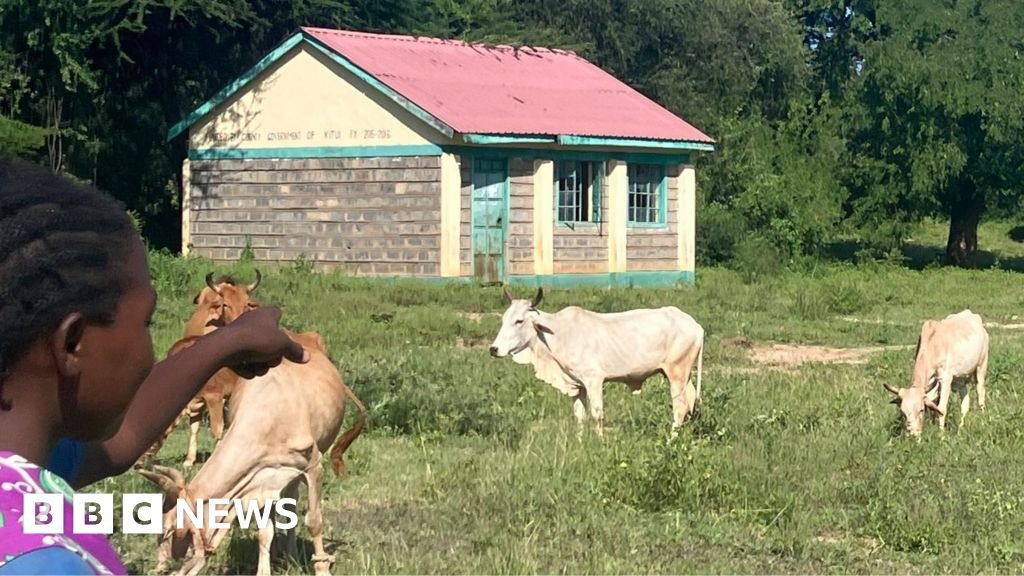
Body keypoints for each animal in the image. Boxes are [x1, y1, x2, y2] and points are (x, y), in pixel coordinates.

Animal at [138, 328, 366, 576]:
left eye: (168, 531)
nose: (160, 569)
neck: (268, 417)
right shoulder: (261, 478)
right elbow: (265, 532)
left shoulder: (313, 466)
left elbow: (314, 521)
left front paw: (322, 568)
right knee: (290, 504)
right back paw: (290, 556)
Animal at [488, 287, 704, 437]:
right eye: (504, 319)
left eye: (519, 321)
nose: (494, 349)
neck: (558, 334)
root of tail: (696, 325)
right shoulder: (577, 386)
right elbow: (580, 416)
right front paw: (580, 442)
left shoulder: (594, 380)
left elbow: (596, 414)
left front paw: (599, 442)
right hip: (683, 376)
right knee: (692, 402)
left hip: (677, 374)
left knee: (680, 407)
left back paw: (671, 439)